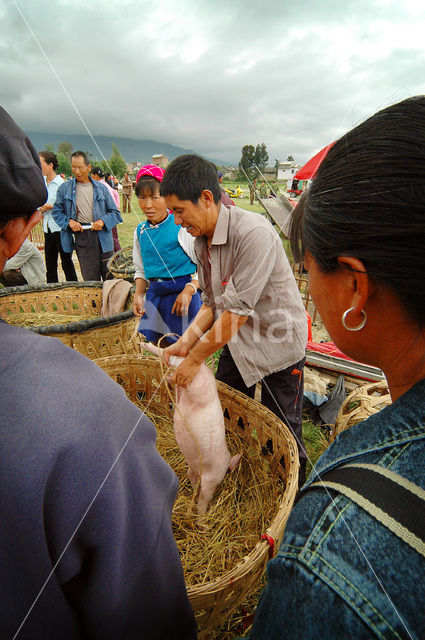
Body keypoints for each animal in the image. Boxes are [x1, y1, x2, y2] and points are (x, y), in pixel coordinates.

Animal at [144, 340, 240, 516]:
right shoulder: (211, 480)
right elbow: (203, 499)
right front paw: (200, 518)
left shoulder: (195, 471)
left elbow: (192, 478)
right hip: (198, 383)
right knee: (170, 358)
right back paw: (145, 344)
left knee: (169, 362)